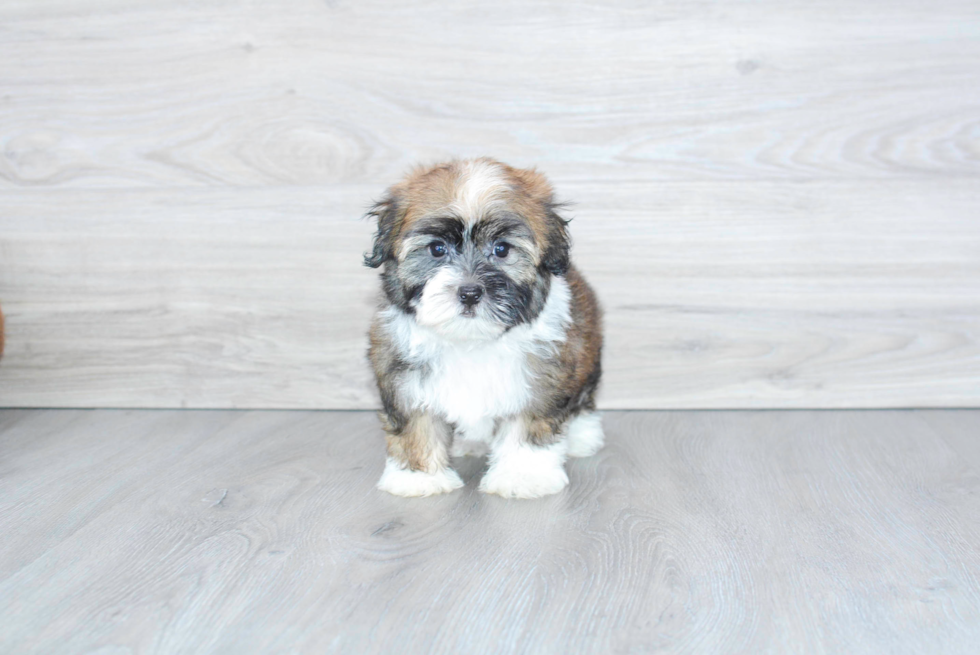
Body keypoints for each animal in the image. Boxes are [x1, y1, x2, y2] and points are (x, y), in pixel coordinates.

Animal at [364, 158, 600, 498]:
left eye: (502, 249)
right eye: (437, 249)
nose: (470, 292)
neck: (470, 341)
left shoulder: (541, 379)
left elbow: (528, 425)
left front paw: (523, 475)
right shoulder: (402, 373)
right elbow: (415, 422)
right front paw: (419, 476)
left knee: (583, 398)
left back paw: (582, 437)